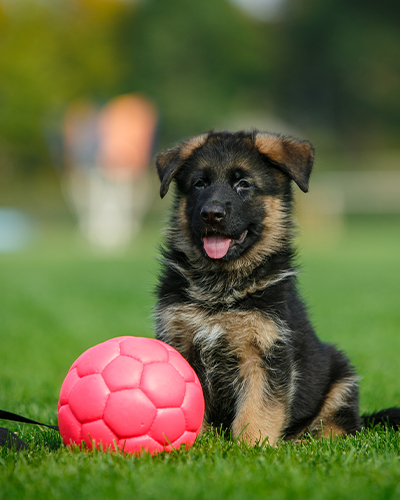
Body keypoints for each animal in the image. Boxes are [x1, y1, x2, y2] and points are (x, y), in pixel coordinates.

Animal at [154, 130, 400, 445]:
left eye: (244, 184)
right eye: (199, 183)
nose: (211, 213)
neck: (222, 285)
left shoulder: (266, 353)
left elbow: (258, 410)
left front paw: (252, 447)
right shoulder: (181, 342)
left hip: (341, 375)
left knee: (339, 429)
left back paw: (303, 440)